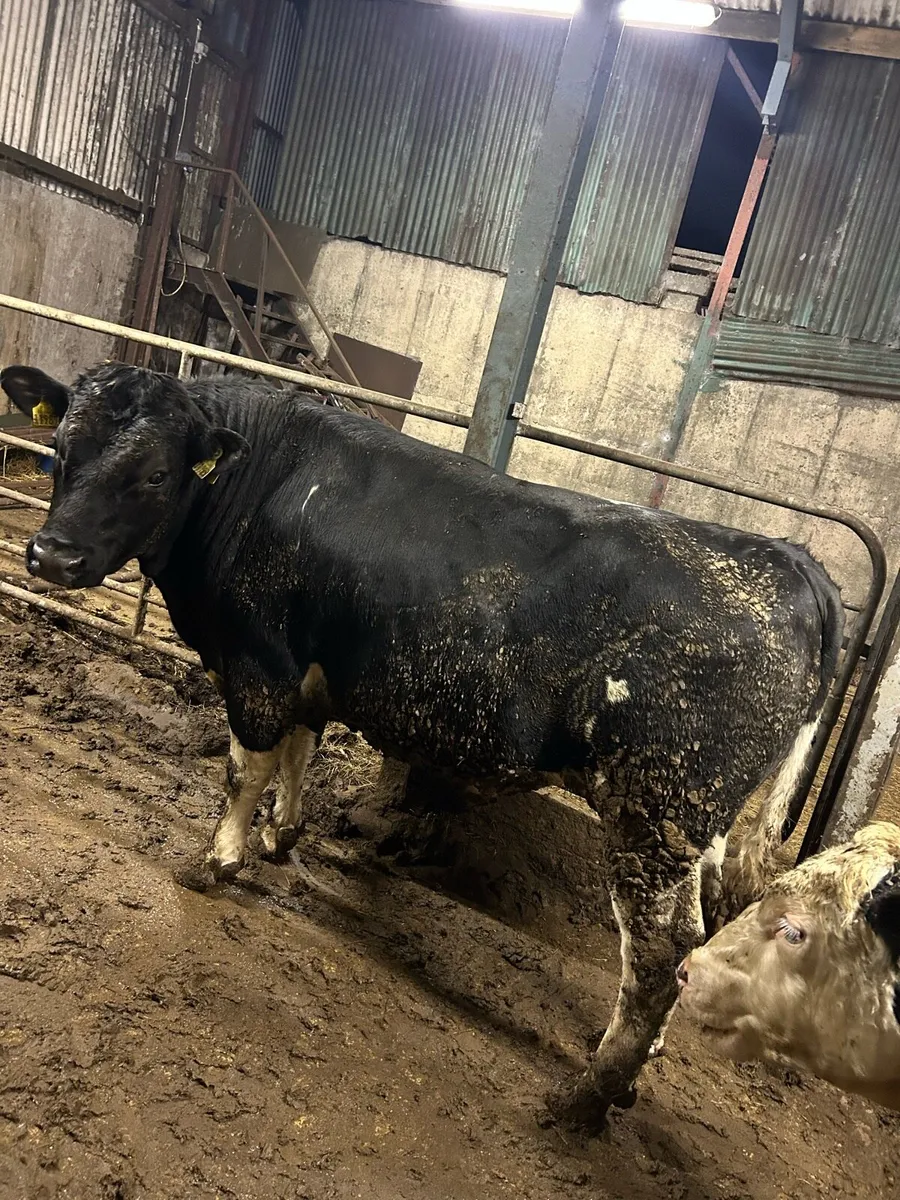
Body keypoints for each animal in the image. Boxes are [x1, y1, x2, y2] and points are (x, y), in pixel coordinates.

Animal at [0, 361, 843, 1129]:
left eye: (153, 473)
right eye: (60, 450)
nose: (51, 557)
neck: (262, 482)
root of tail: (786, 557)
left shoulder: (256, 662)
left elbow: (246, 767)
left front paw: (218, 860)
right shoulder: (310, 666)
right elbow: (300, 752)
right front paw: (282, 837)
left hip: (653, 812)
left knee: (661, 955)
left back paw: (587, 1095)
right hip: (699, 823)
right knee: (691, 942)